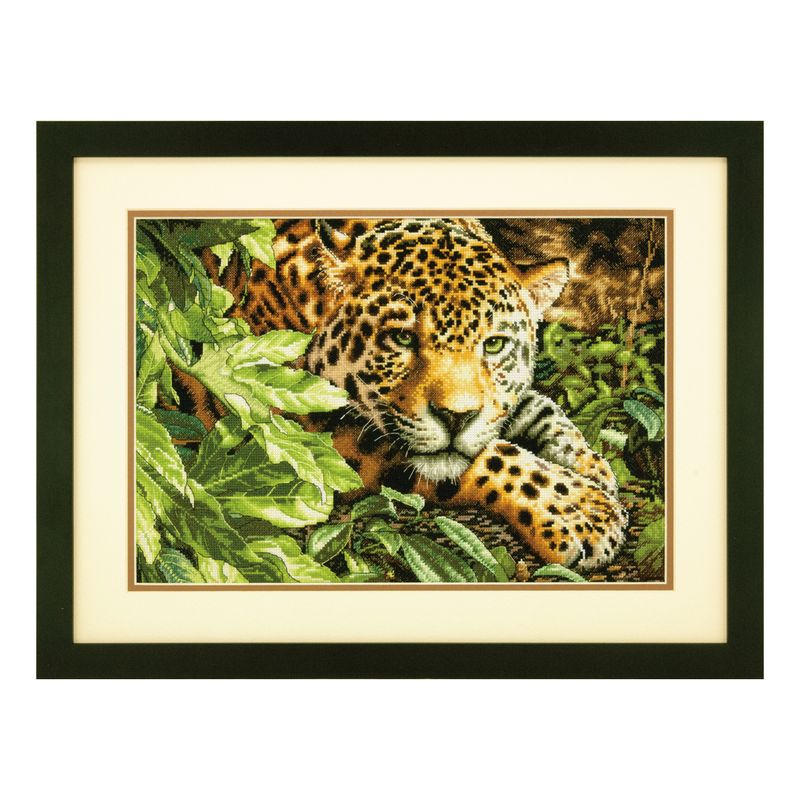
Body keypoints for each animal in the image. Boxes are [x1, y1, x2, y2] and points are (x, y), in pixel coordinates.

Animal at [195, 217, 627, 571]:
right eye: (402, 338)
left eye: (494, 345)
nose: (456, 418)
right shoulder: (300, 429)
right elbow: (493, 456)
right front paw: (583, 510)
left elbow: (540, 409)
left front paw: (594, 469)